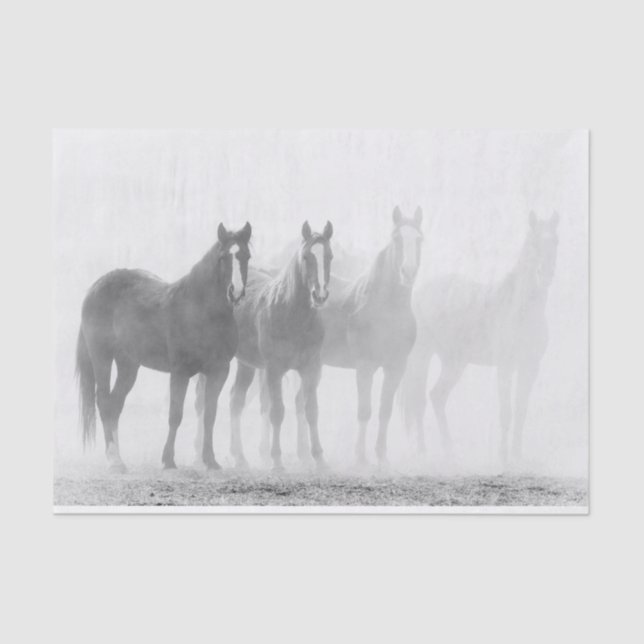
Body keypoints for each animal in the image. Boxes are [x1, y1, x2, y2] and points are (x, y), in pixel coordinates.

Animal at [75, 221, 252, 471]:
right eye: (222, 257)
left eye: (245, 256)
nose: (235, 292)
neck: (200, 311)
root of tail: (95, 288)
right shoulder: (180, 372)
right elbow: (175, 415)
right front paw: (168, 459)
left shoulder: (219, 371)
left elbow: (210, 416)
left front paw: (210, 461)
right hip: (102, 358)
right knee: (104, 401)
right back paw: (113, 459)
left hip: (128, 365)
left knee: (115, 405)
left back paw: (119, 458)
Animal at [197, 220, 334, 470]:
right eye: (307, 257)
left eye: (328, 256)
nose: (319, 295)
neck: (292, 313)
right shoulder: (274, 369)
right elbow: (277, 411)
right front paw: (276, 460)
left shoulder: (311, 368)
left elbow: (311, 410)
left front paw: (319, 458)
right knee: (203, 401)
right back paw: (200, 456)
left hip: (247, 365)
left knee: (235, 401)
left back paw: (240, 457)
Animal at [307, 206, 424, 465]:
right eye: (397, 239)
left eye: (420, 240)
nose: (408, 272)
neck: (386, 309)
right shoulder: (365, 366)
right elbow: (364, 410)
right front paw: (360, 456)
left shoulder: (396, 367)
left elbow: (384, 410)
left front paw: (381, 456)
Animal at [401, 211, 559, 466]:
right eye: (534, 243)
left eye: (555, 241)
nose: (544, 275)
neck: (520, 311)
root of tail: (418, 294)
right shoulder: (505, 367)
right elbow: (506, 411)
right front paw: (503, 455)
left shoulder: (530, 367)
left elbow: (521, 411)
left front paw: (517, 455)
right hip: (421, 357)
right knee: (418, 401)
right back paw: (422, 452)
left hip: (454, 362)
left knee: (437, 396)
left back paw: (449, 450)